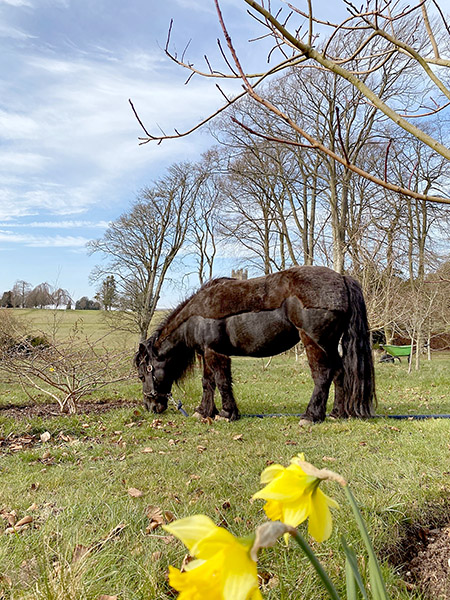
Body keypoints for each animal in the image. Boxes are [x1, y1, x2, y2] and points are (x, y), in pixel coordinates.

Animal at [134, 264, 376, 424]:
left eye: (142, 375)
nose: (149, 406)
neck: (196, 316)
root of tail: (342, 279)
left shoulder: (216, 353)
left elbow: (222, 381)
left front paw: (227, 413)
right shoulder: (206, 352)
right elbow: (207, 382)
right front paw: (204, 411)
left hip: (314, 343)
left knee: (323, 375)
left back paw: (311, 416)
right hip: (329, 345)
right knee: (339, 373)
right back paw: (336, 413)